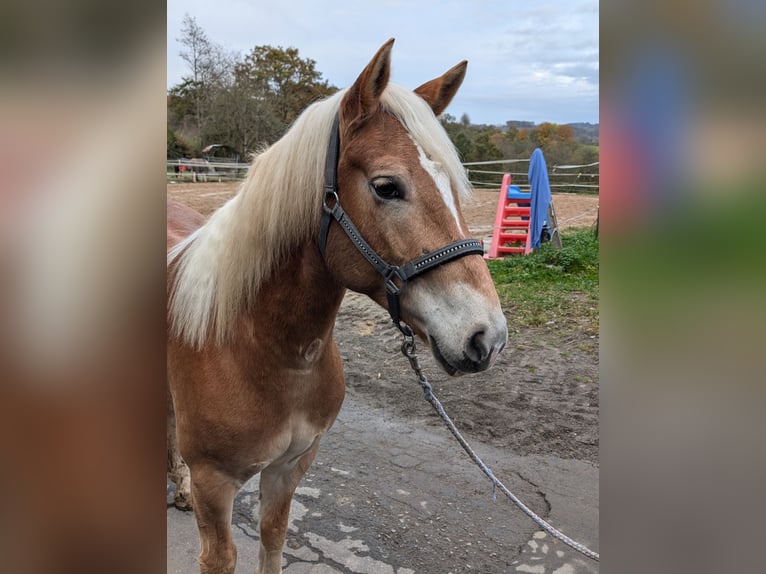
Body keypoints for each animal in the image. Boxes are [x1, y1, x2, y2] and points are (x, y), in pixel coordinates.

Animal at [168, 40, 510, 574]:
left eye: (456, 187)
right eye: (387, 186)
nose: (487, 337)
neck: (259, 347)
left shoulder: (290, 467)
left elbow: (273, 537)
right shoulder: (214, 485)